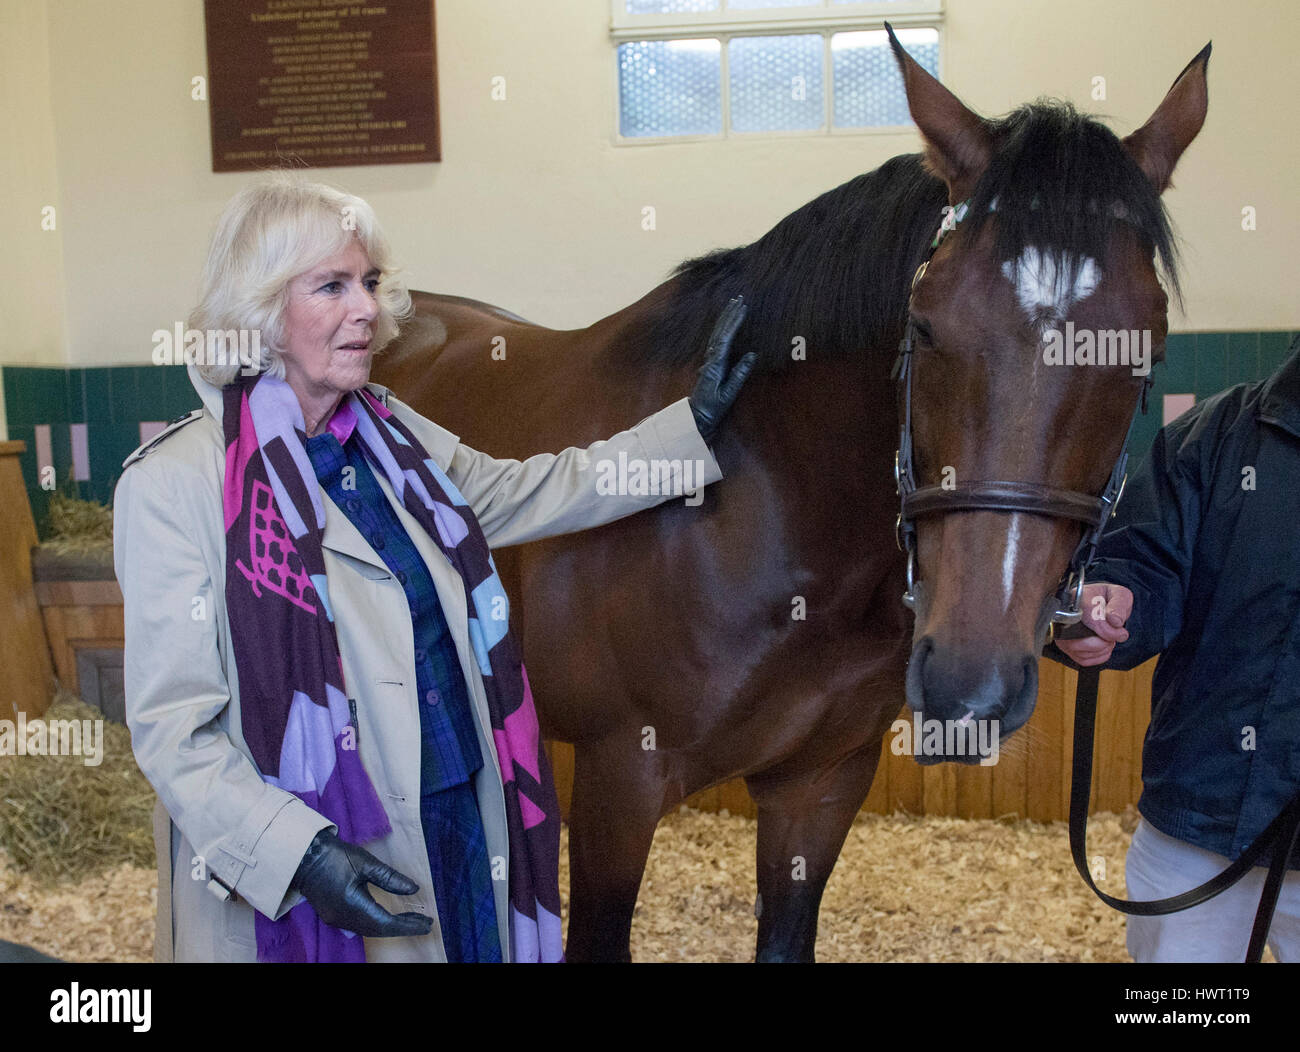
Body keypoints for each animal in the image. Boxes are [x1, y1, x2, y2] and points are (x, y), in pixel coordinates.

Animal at [369, 34, 1206, 962]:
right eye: (924, 328)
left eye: (1146, 350)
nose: (971, 679)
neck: (763, 507)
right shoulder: (620, 783)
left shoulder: (819, 786)